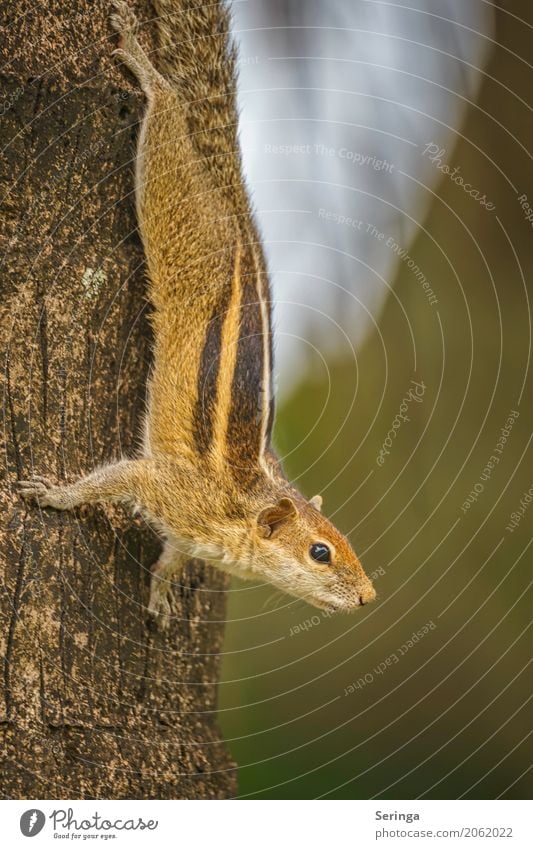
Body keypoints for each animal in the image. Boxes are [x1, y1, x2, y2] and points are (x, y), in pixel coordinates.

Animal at [15, 0, 374, 624]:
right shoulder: (163, 483)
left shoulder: (190, 532)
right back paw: (147, 70)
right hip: (177, 204)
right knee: (167, 118)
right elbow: (113, 478)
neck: (239, 515)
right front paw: (55, 494)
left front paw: (161, 589)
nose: (369, 594)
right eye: (320, 552)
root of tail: (232, 200)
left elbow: (174, 556)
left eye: (344, 542)